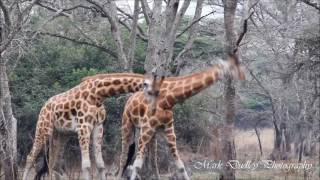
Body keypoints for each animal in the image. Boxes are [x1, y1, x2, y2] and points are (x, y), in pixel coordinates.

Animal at [21, 72, 165, 180]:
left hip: (61, 134)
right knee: (30, 157)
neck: (98, 94)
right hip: (43, 128)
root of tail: (44, 106)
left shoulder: (98, 126)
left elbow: (100, 164)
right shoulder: (83, 126)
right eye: (155, 91)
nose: (155, 108)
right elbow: (86, 165)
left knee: (52, 162)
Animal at [117, 55, 245, 179]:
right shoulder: (147, 127)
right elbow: (137, 165)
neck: (168, 100)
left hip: (152, 133)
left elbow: (181, 166)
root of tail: (130, 99)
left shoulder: (168, 130)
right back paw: (118, 175)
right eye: (233, 66)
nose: (242, 77)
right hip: (128, 123)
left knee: (153, 160)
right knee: (123, 156)